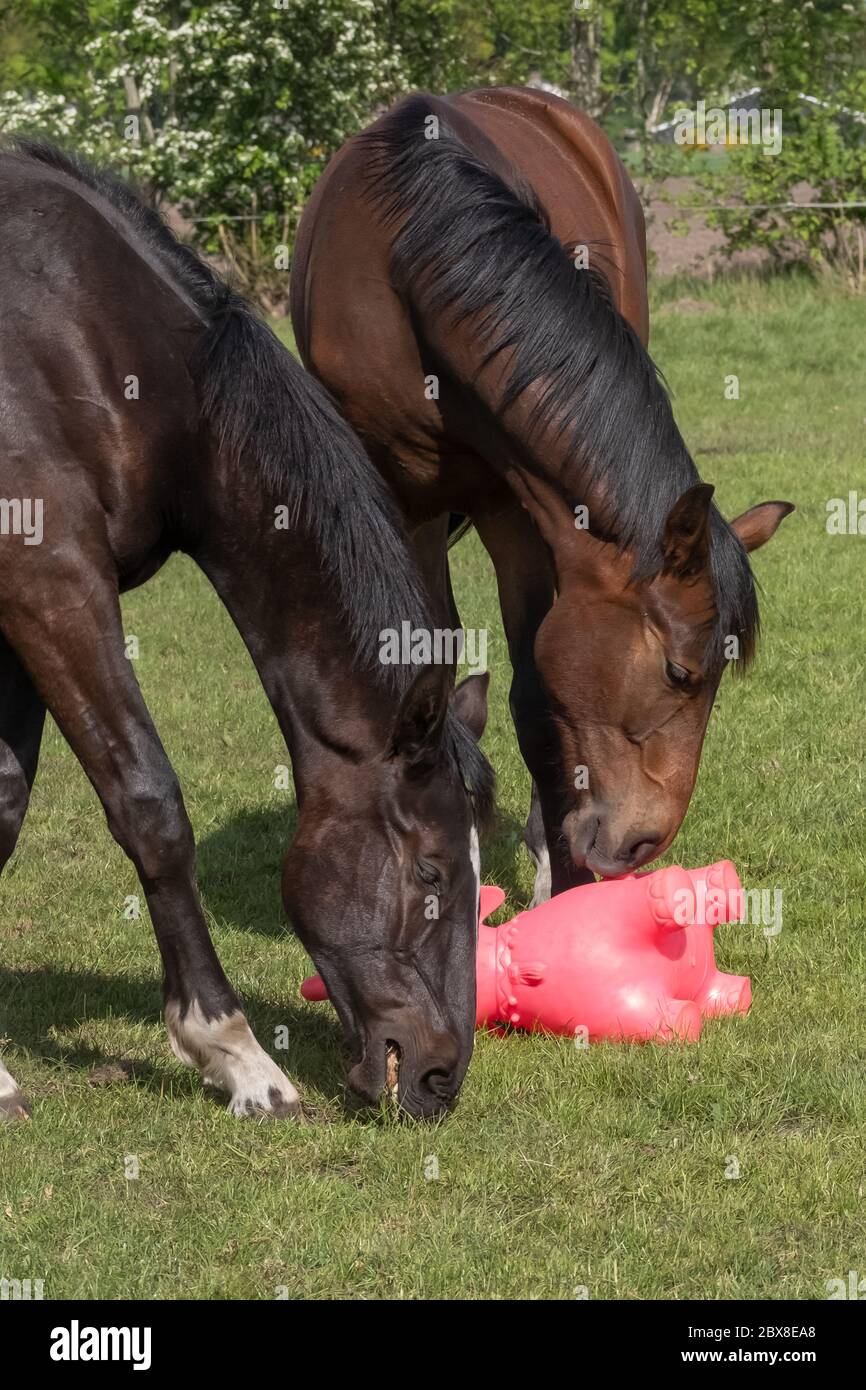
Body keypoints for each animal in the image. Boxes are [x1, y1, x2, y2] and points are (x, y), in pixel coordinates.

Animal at [291, 87, 793, 903]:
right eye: (680, 673)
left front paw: (563, 882)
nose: (644, 843)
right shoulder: (406, 501)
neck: (408, 251)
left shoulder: (517, 506)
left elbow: (536, 696)